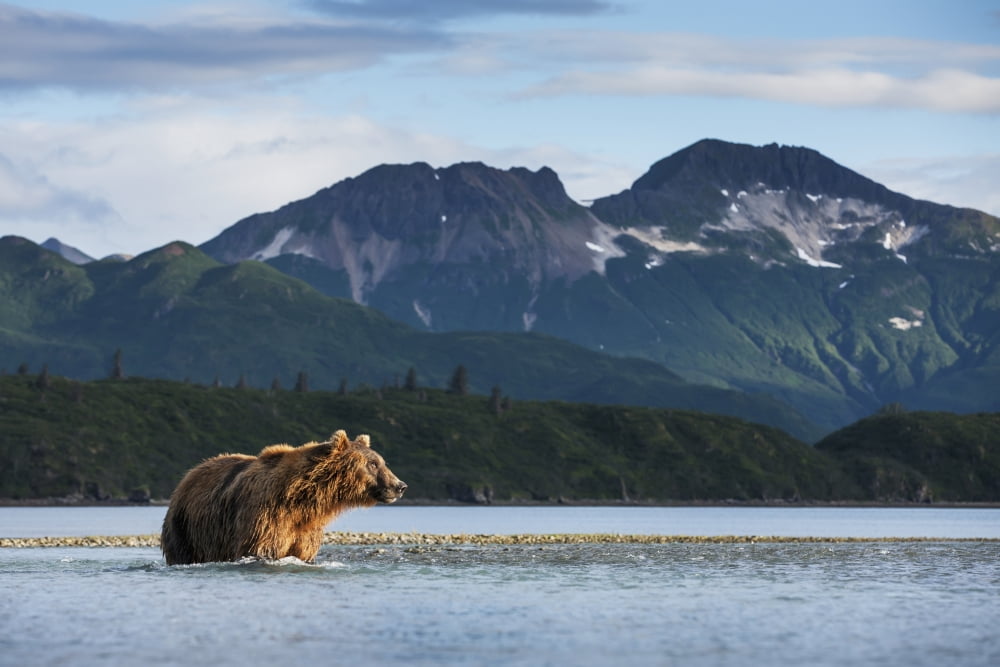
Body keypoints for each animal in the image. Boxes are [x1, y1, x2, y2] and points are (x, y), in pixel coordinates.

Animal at [161, 430, 406, 565]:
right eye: (372, 464)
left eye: (382, 461)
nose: (400, 486)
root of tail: (190, 473)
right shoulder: (266, 517)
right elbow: (261, 549)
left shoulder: (305, 530)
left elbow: (303, 551)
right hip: (187, 526)